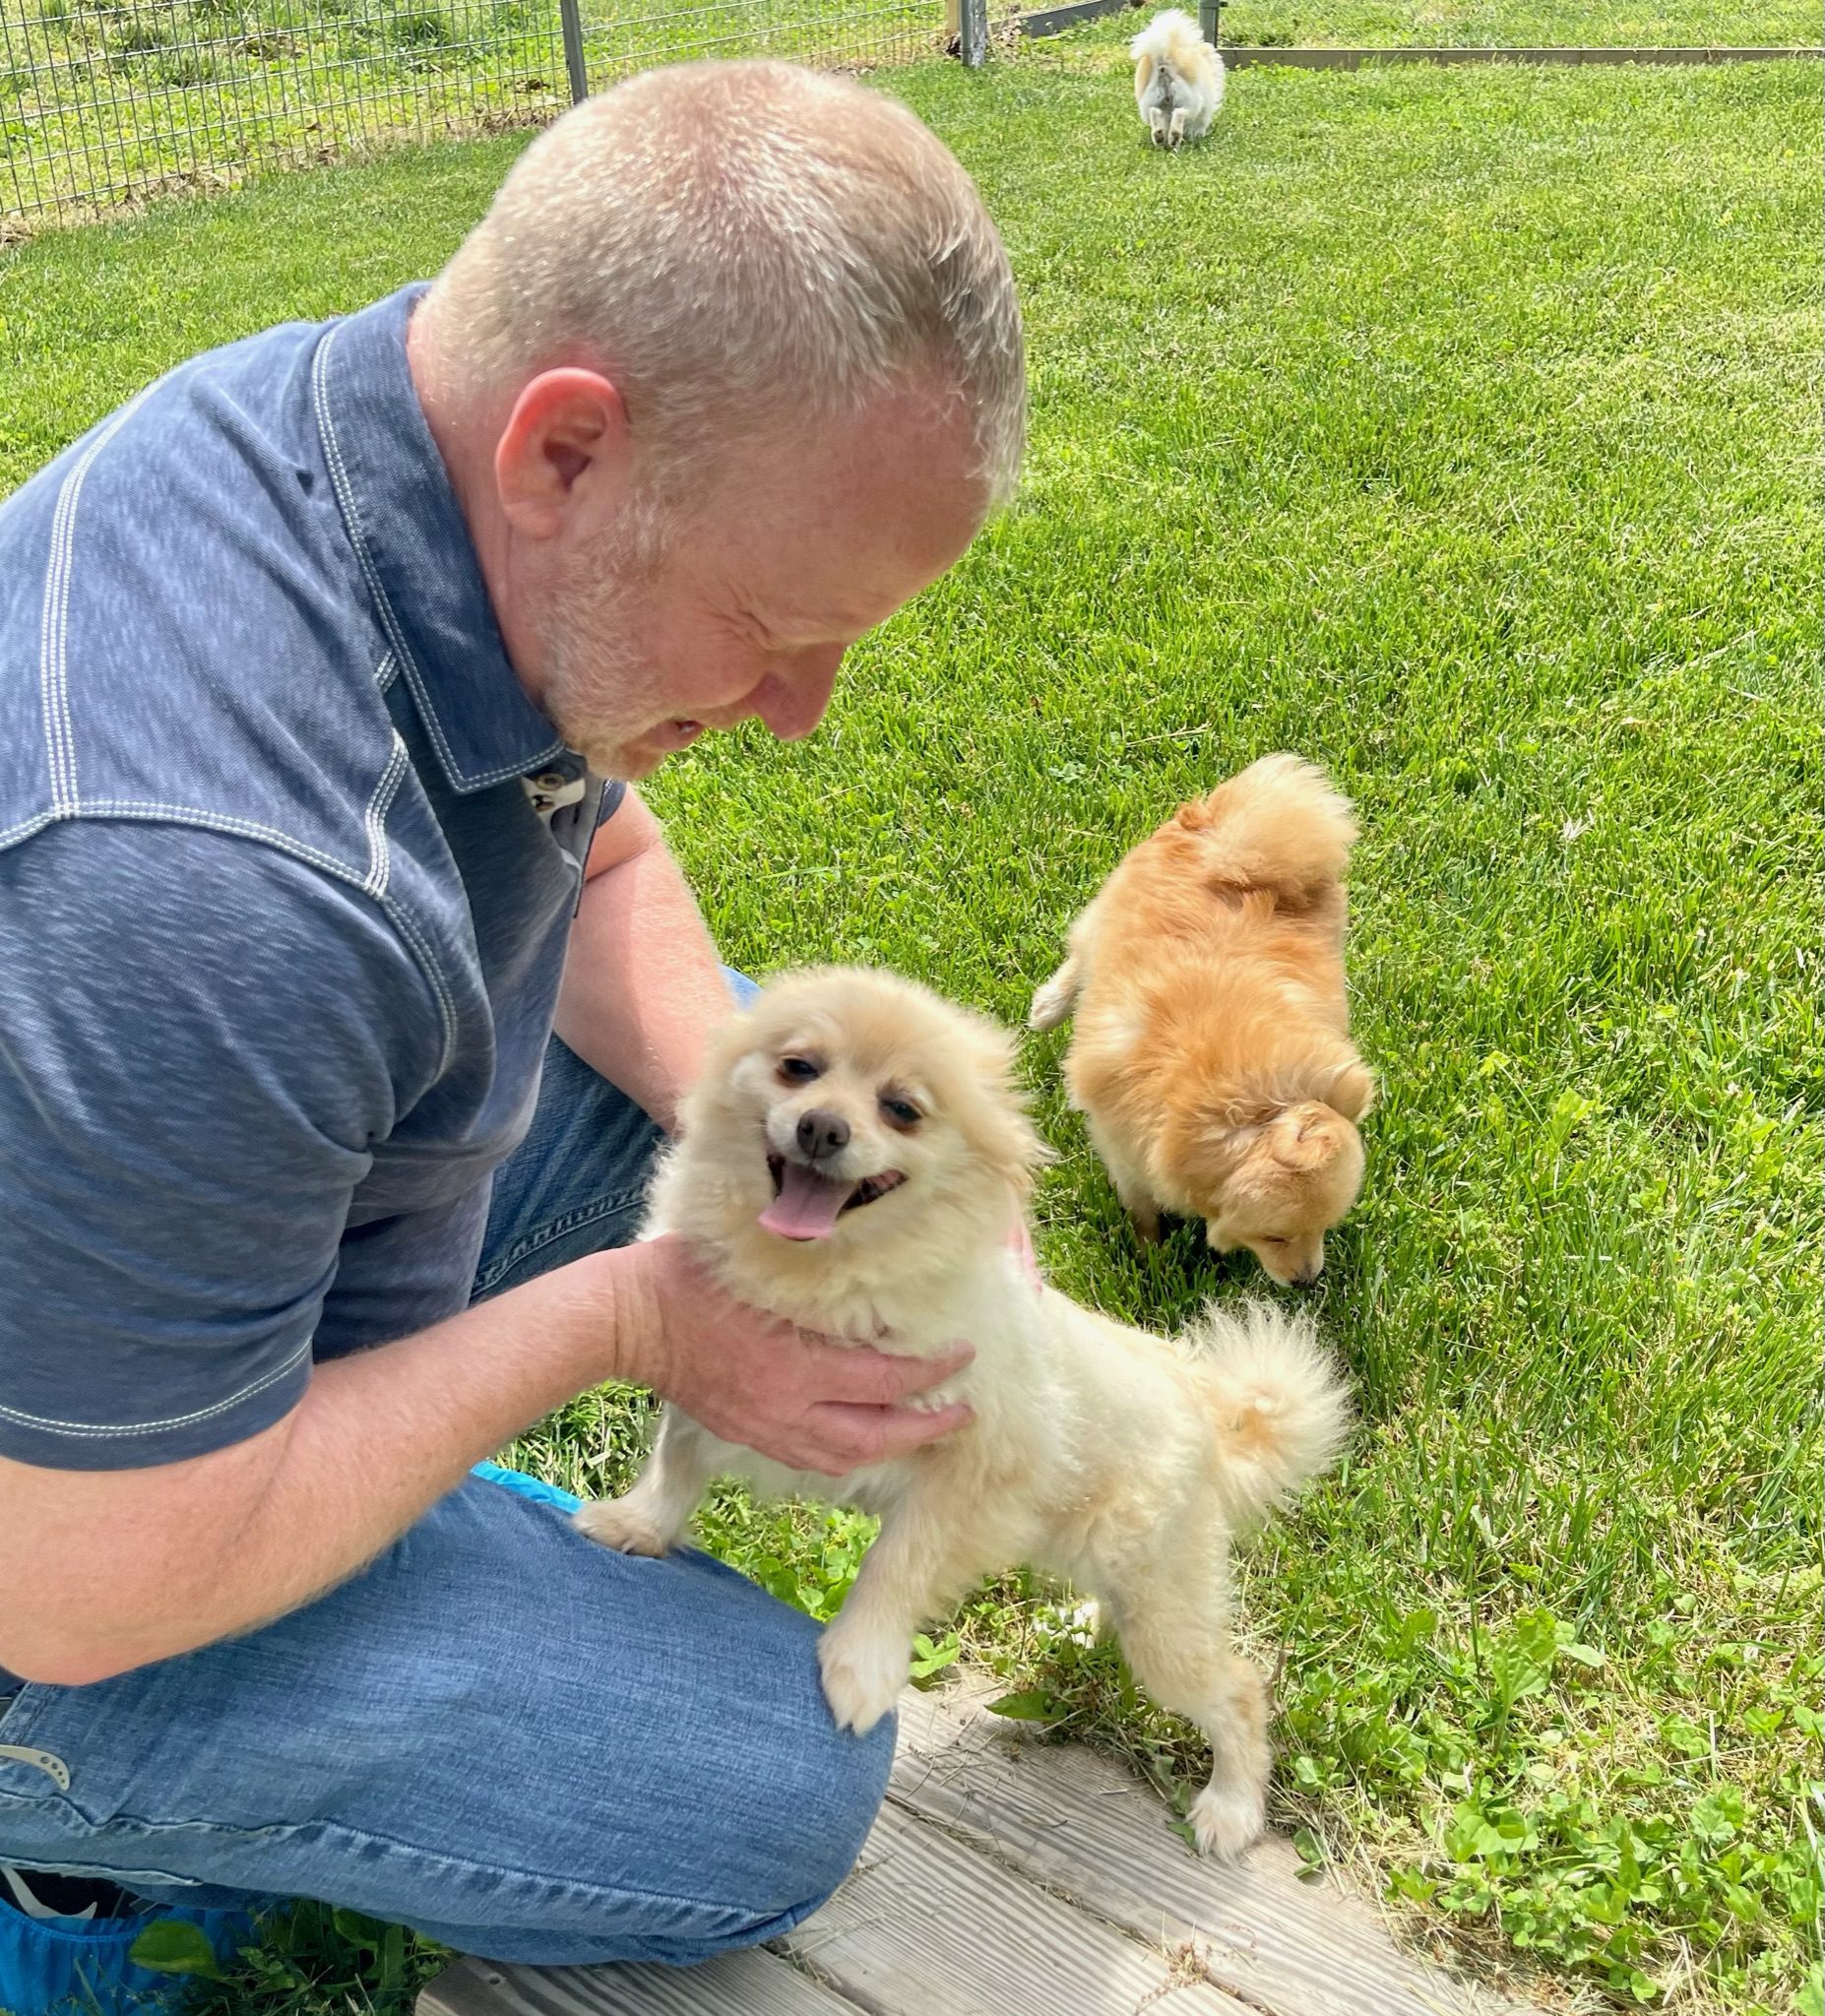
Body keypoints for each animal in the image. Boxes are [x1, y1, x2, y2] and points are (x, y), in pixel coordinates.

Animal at [576, 968, 1347, 1846]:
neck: (821, 1275)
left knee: (1239, 1691)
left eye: (903, 1109)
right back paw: (1077, 1625)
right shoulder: (716, 1371)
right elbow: (675, 1462)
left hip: (1164, 1619)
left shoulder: (972, 1469)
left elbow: (896, 1566)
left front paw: (862, 1666)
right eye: (797, 1068)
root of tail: (1206, 1406)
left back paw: (1232, 1806)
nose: (820, 1127)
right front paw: (637, 1526)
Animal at [1032, 758, 1371, 1290]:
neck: (1255, 1099)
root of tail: (1224, 834)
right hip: (1109, 912)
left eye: (1324, 1228)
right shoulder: (1124, 1150)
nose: (1307, 1280)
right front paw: (1151, 1261)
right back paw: (1047, 1007)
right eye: (1275, 1237)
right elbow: (1142, 1212)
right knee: (1082, 952)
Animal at [1121, 6, 1226, 149]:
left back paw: (1160, 136)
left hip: (1149, 102)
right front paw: (1197, 134)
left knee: (1154, 112)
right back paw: (1175, 137)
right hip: (1191, 102)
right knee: (1180, 113)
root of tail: (1163, 63)